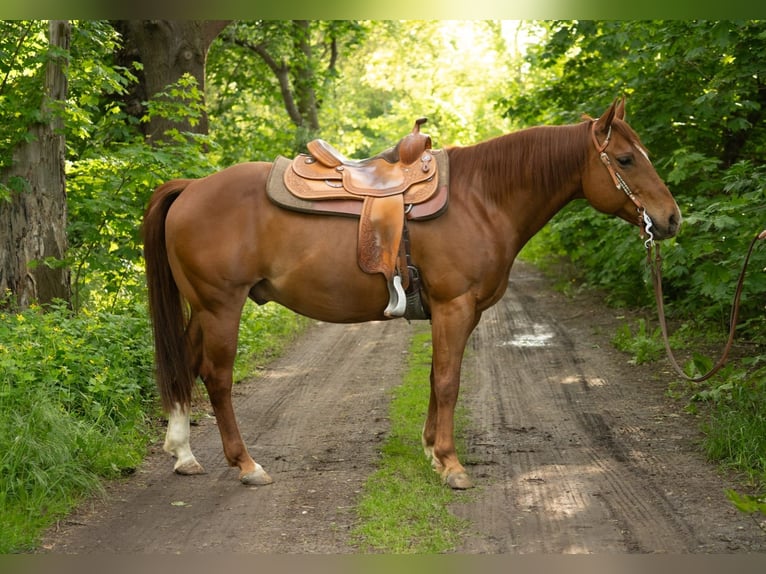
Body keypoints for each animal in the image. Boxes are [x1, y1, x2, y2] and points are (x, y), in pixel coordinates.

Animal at [142, 98, 681, 490]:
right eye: (627, 159)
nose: (672, 218)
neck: (481, 198)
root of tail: (190, 188)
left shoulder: (460, 313)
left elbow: (437, 377)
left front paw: (430, 451)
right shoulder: (454, 307)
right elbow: (448, 381)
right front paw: (451, 464)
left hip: (203, 308)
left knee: (184, 364)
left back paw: (183, 454)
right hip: (221, 306)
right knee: (216, 377)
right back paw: (246, 464)